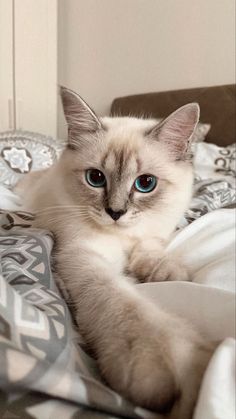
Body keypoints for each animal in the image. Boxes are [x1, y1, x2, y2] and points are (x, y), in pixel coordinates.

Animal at [15, 87, 217, 418]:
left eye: (146, 183)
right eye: (96, 178)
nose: (115, 213)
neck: (122, 237)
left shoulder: (152, 234)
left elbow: (150, 249)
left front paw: (163, 271)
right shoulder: (81, 254)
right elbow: (119, 299)